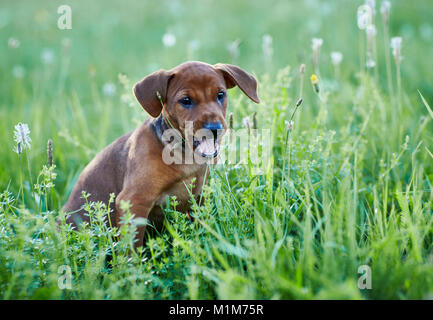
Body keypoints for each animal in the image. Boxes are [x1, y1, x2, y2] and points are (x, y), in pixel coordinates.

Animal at [62, 62, 258, 248]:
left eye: (220, 95)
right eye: (186, 100)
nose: (214, 129)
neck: (184, 155)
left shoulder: (200, 195)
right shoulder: (133, 201)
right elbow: (131, 249)